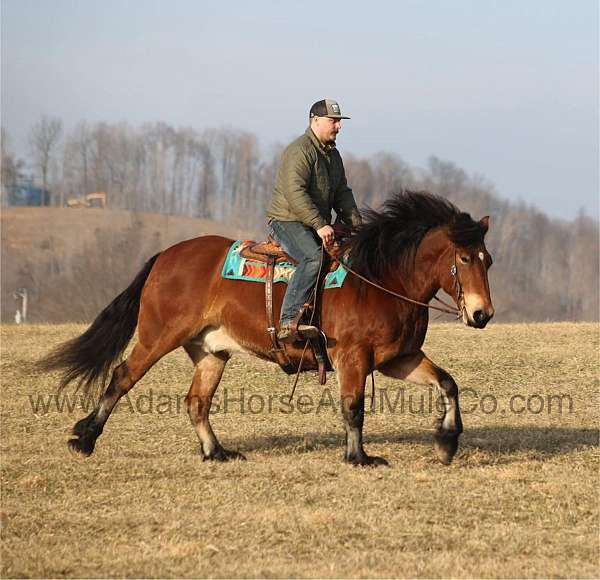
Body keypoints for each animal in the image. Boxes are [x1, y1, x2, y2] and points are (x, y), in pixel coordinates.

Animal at [39, 190, 494, 466]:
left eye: (487, 259)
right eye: (464, 258)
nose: (482, 314)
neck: (380, 278)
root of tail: (165, 256)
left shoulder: (399, 358)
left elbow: (448, 384)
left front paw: (447, 441)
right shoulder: (352, 357)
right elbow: (353, 407)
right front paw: (359, 457)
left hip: (211, 351)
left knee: (196, 402)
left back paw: (216, 452)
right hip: (157, 336)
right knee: (122, 376)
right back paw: (85, 438)